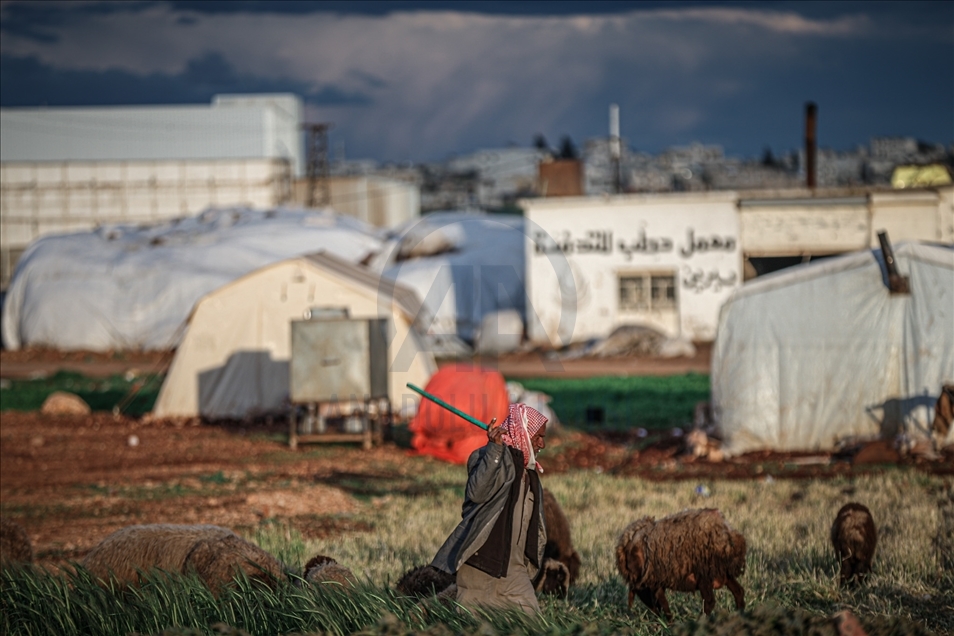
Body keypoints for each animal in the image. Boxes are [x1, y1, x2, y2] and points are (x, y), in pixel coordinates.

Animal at [612, 510, 748, 620]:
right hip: (721, 573)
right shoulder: (655, 580)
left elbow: (659, 600)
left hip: (705, 573)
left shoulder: (652, 580)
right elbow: (659, 600)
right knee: (738, 592)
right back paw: (740, 615)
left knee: (711, 601)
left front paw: (668, 622)